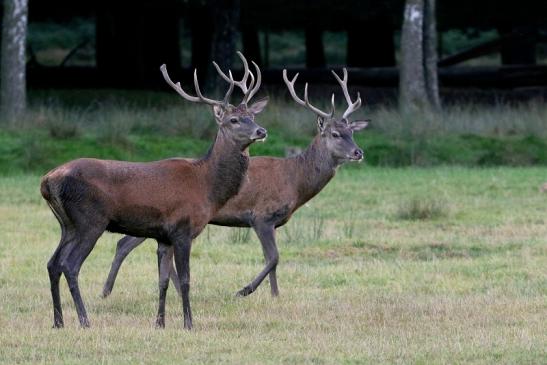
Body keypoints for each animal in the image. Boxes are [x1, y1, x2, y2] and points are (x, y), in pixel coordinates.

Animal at [40, 52, 268, 330]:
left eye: (252, 117)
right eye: (233, 120)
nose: (261, 131)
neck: (207, 187)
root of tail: (48, 180)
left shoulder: (163, 237)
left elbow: (163, 281)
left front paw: (159, 323)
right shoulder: (183, 229)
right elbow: (185, 280)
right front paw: (188, 324)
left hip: (67, 224)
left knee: (52, 263)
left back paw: (58, 321)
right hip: (89, 220)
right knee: (69, 265)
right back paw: (84, 320)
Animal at [101, 67, 370, 298]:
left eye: (352, 133)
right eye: (335, 134)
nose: (358, 152)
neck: (295, 182)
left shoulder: (273, 222)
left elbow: (272, 260)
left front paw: (275, 294)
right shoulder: (261, 215)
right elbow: (273, 257)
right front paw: (244, 290)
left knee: (127, 243)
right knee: (125, 243)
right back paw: (108, 290)